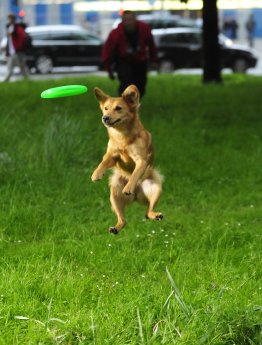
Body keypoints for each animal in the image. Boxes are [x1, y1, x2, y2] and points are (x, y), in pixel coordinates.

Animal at [91, 84, 162, 232]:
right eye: (105, 108)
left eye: (118, 108)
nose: (105, 117)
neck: (122, 136)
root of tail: (136, 196)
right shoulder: (112, 156)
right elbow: (103, 162)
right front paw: (97, 173)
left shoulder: (141, 161)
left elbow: (135, 173)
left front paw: (129, 186)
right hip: (114, 192)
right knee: (123, 219)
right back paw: (116, 228)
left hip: (155, 185)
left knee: (148, 212)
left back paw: (155, 214)